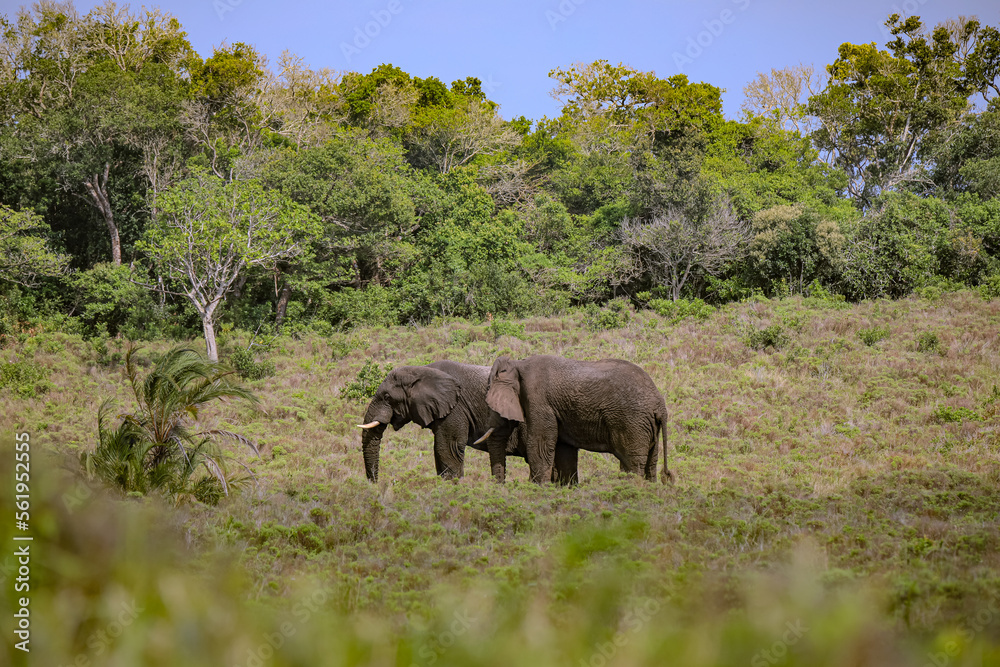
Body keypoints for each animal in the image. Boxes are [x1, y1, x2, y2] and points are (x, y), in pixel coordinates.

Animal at [357, 360, 578, 483]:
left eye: (387, 397)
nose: (375, 485)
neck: (421, 370)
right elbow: (439, 450)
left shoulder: (456, 408)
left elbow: (448, 447)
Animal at [484, 355, 673, 485]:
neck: (517, 363)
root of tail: (660, 405)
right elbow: (563, 450)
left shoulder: (538, 400)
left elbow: (539, 445)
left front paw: (537, 489)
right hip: (646, 424)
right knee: (650, 463)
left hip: (631, 422)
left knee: (632, 463)